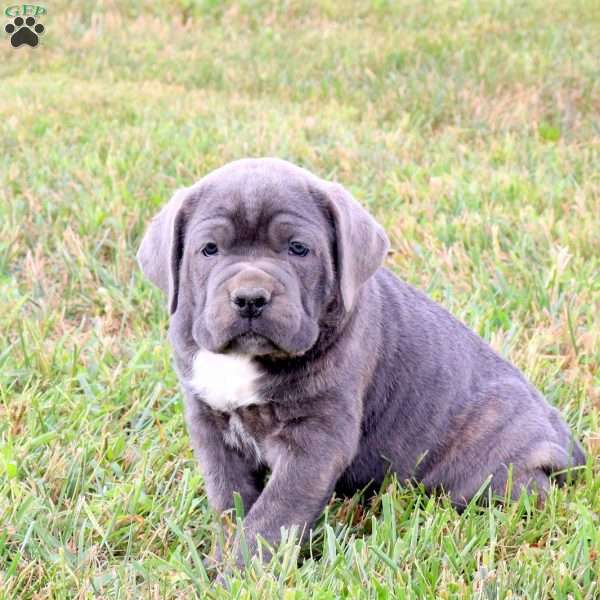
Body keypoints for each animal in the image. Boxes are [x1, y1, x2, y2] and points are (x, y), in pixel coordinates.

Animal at [138, 158, 584, 564]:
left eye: (298, 249)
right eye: (208, 250)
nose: (250, 297)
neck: (249, 360)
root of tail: (563, 437)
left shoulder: (316, 440)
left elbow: (274, 512)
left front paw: (241, 573)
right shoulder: (210, 426)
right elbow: (229, 500)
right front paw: (220, 557)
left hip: (490, 469)